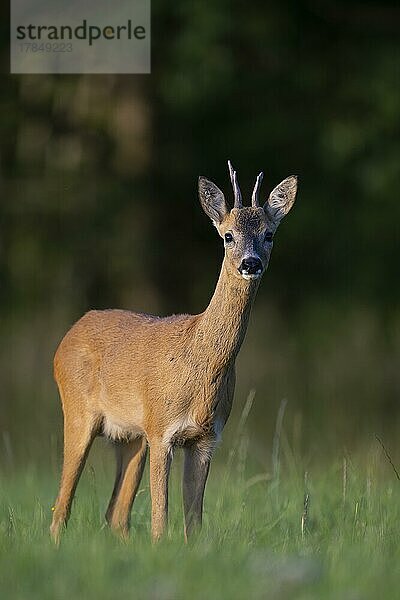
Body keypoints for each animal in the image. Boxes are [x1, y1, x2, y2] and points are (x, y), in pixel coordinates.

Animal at [50, 161, 296, 544]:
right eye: (227, 235)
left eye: (269, 234)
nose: (250, 263)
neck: (198, 363)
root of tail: (67, 337)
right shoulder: (161, 430)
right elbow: (159, 518)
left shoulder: (206, 437)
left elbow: (193, 521)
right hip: (78, 413)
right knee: (61, 508)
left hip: (131, 437)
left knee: (115, 513)